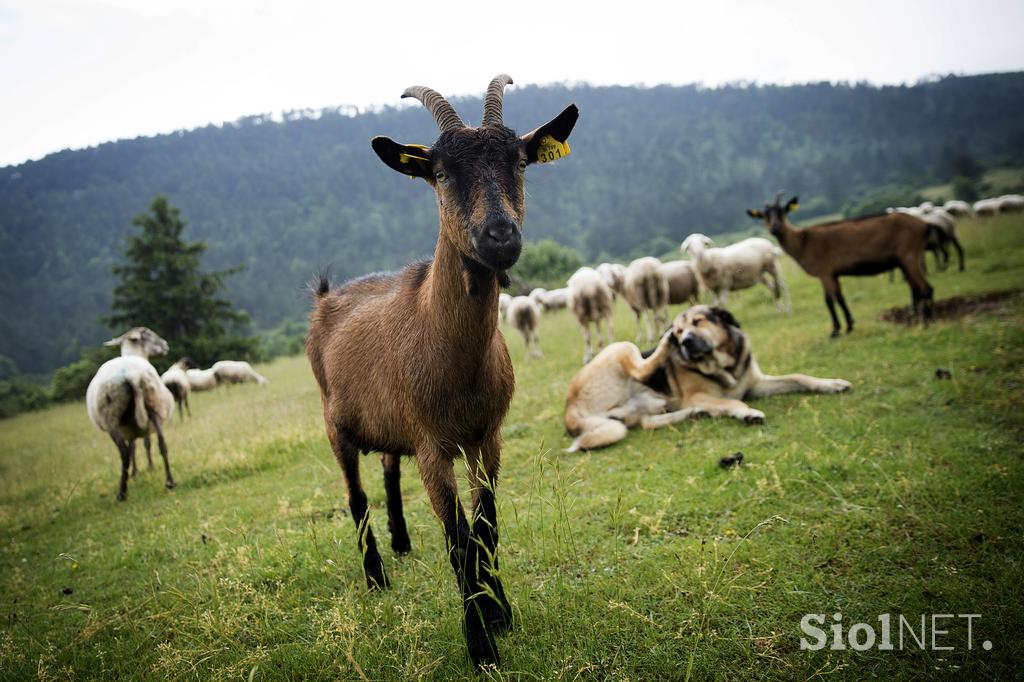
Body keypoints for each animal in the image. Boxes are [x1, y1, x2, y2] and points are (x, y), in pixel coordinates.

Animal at [88, 327, 178, 497]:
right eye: (149, 334)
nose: (165, 345)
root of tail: (131, 374)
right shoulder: (135, 427)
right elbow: (142, 444)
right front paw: (143, 469)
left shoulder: (130, 428)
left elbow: (134, 447)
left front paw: (137, 472)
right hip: (154, 406)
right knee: (162, 443)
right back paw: (170, 481)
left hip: (111, 419)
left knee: (124, 453)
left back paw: (122, 492)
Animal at [303, 74, 577, 663]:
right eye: (442, 173)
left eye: (521, 163)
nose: (500, 236)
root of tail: (326, 299)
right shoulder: (432, 446)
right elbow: (458, 539)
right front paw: (480, 644)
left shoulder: (486, 437)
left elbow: (486, 527)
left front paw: (500, 614)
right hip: (334, 425)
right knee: (355, 496)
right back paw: (376, 576)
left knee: (387, 469)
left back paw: (403, 544)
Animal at [565, 303, 851, 450]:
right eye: (680, 330)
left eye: (699, 322)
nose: (683, 341)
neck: (724, 366)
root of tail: (569, 411)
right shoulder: (697, 395)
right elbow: (733, 401)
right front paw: (748, 413)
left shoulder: (756, 384)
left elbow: (799, 377)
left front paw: (832, 384)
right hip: (621, 347)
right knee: (642, 369)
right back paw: (665, 345)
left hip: (642, 410)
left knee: (648, 422)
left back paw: (699, 413)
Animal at [745, 193, 937, 333]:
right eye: (764, 215)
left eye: (782, 211)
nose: (775, 228)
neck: (803, 241)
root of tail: (924, 225)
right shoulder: (833, 273)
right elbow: (840, 297)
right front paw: (850, 325)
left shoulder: (824, 271)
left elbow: (829, 300)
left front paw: (835, 330)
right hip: (906, 259)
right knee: (916, 288)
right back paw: (916, 318)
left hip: (909, 255)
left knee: (925, 287)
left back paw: (927, 321)